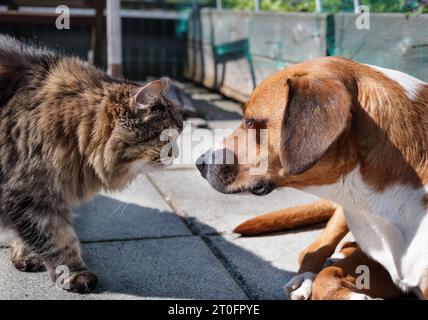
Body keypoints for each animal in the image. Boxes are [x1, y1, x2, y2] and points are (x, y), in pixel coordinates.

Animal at [0, 35, 182, 292]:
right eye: (167, 138)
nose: (176, 154)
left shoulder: (42, 193)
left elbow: (35, 235)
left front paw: (26, 254)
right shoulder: (27, 194)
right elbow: (57, 238)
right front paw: (74, 273)